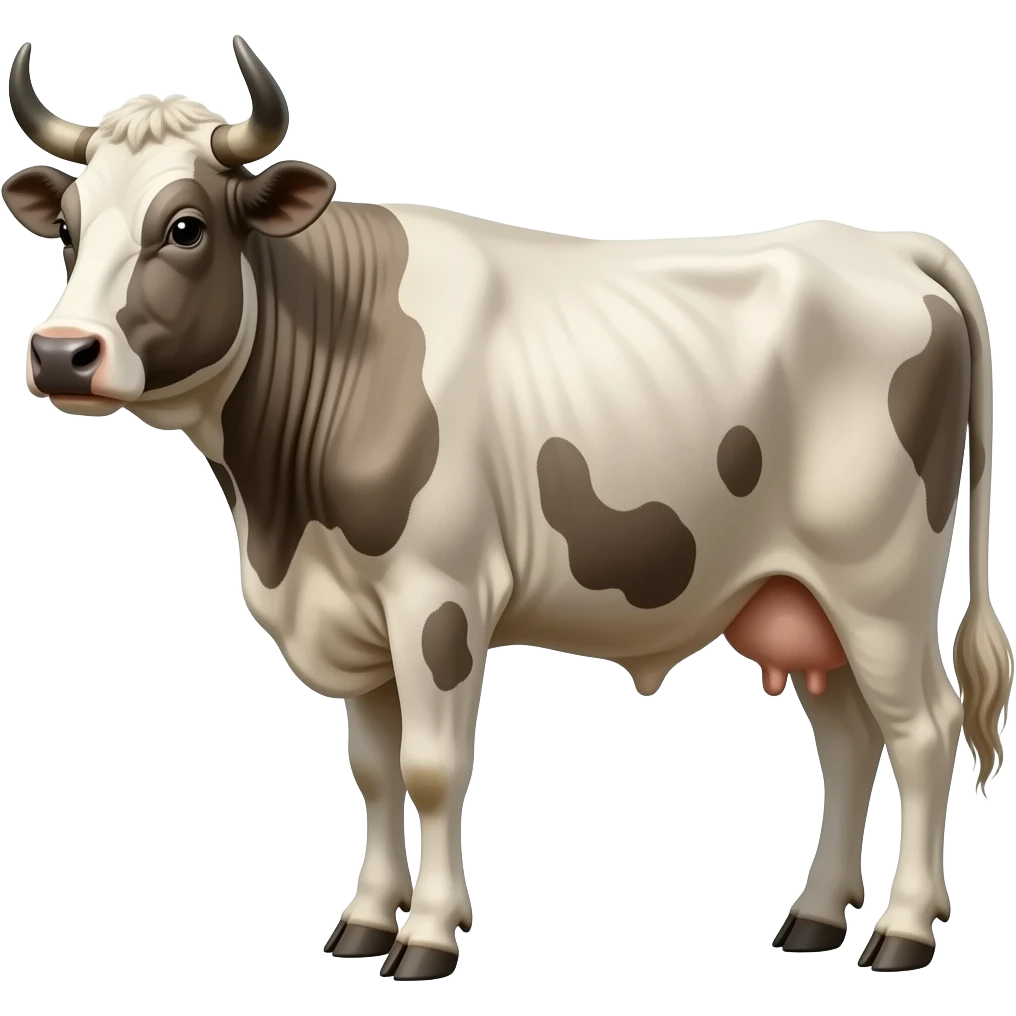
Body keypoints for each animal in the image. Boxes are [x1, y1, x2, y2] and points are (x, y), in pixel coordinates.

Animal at [4, 35, 1011, 980]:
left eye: (184, 227)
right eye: (70, 228)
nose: (61, 353)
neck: (281, 517)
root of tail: (886, 244)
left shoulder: (438, 596)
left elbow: (432, 769)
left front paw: (426, 937)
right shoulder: (357, 613)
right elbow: (374, 771)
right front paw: (364, 921)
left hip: (879, 582)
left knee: (924, 730)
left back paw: (902, 931)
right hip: (803, 596)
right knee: (849, 739)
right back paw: (814, 918)